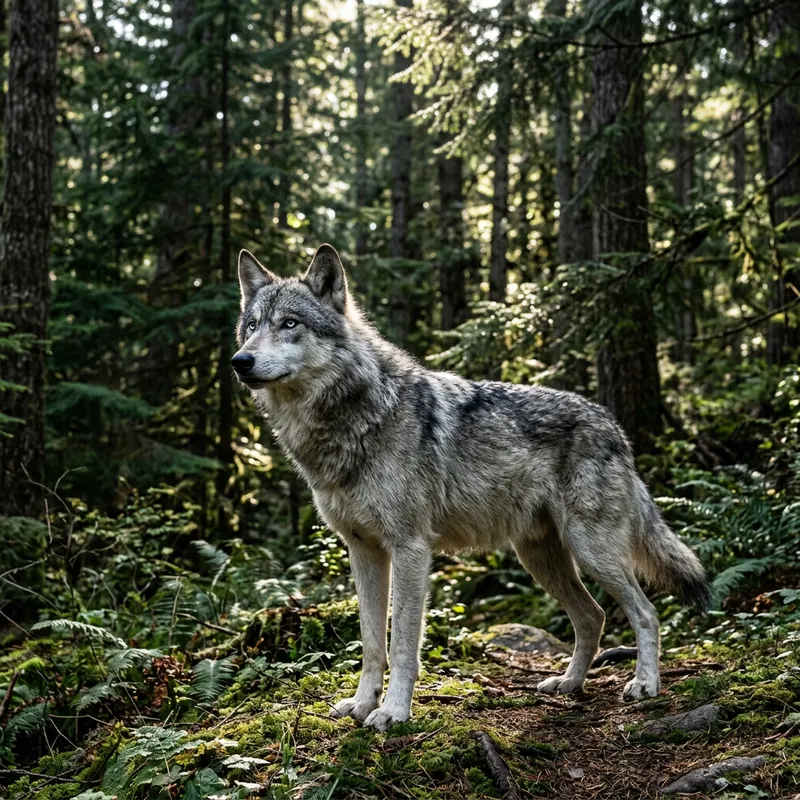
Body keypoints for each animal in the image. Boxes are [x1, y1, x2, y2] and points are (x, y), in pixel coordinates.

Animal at [231, 243, 711, 731]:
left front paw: (393, 712)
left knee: (645, 612)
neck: (353, 418)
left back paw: (645, 685)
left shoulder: (410, 548)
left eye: (290, 323)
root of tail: (614, 426)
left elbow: (402, 643)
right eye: (252, 326)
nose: (240, 361)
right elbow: (371, 644)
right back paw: (569, 684)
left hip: (592, 551)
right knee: (592, 616)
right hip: (540, 559)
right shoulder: (363, 550)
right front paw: (363, 705)